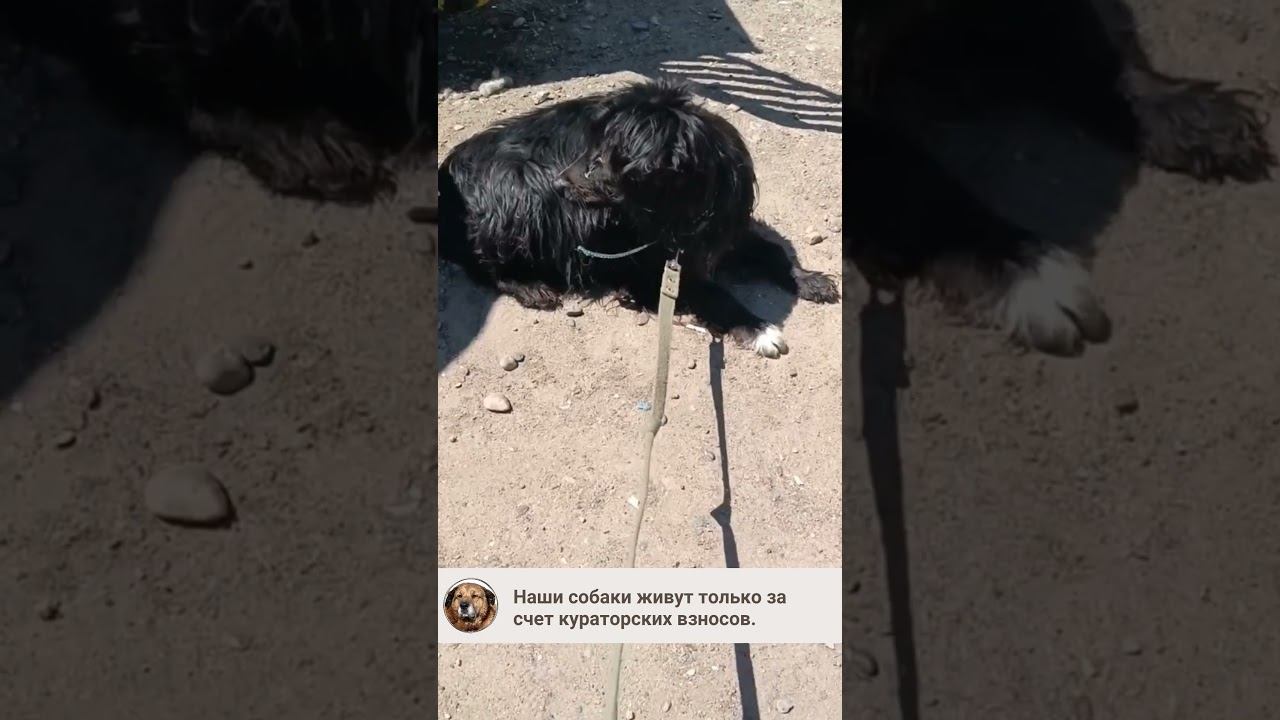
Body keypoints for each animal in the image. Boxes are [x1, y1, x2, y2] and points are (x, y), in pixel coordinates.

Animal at [439, 78, 840, 359]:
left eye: (603, 158)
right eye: (589, 147)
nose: (559, 182)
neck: (678, 215)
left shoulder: (728, 228)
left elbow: (773, 252)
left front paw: (811, 280)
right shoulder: (648, 270)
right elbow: (712, 292)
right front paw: (758, 329)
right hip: (520, 191)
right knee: (485, 263)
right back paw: (530, 287)